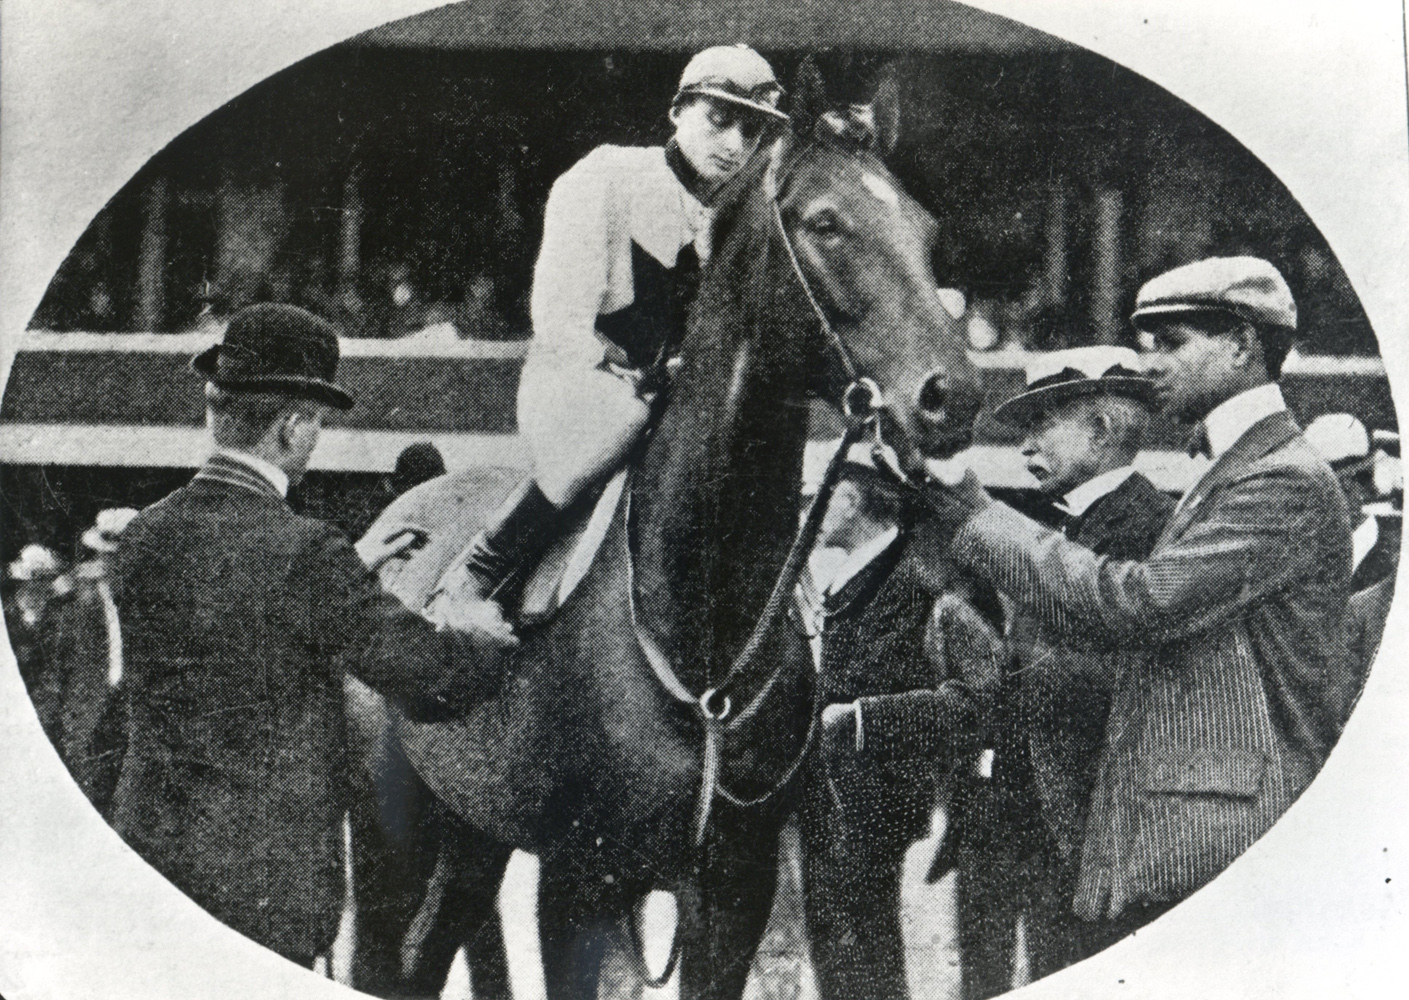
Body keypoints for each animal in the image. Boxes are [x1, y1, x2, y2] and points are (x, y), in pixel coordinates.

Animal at [349, 80, 991, 1000]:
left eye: (926, 229)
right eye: (826, 222)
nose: (953, 396)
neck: (698, 618)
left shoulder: (733, 884)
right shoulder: (576, 884)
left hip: (472, 833)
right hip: (389, 828)